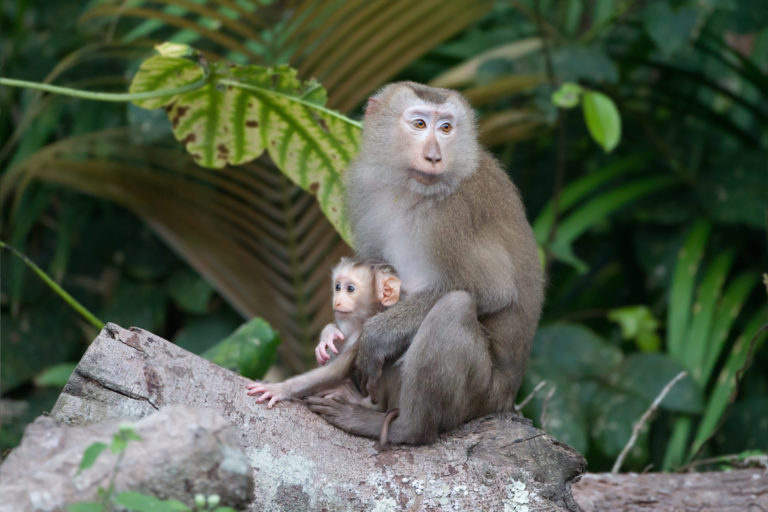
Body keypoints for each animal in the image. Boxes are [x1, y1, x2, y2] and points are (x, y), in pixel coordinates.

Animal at [245, 258, 401, 408]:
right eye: (337, 287)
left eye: (350, 289)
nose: (337, 301)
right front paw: (328, 335)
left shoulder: (365, 335)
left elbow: (336, 371)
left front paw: (280, 389)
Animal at [304, 81, 544, 445]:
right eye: (419, 124)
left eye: (445, 128)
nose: (433, 156)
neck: (413, 191)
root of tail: (507, 398)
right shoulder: (367, 189)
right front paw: (333, 334)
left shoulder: (456, 214)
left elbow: (493, 291)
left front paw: (376, 336)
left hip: (480, 395)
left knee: (454, 308)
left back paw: (403, 427)